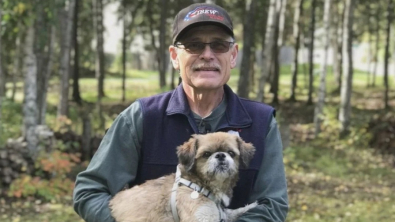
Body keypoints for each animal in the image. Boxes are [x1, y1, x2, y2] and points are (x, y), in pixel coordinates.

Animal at [110, 132, 258, 222]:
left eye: (231, 153)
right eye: (206, 154)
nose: (221, 155)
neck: (202, 185)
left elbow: (232, 212)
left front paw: (252, 206)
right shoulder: (201, 217)